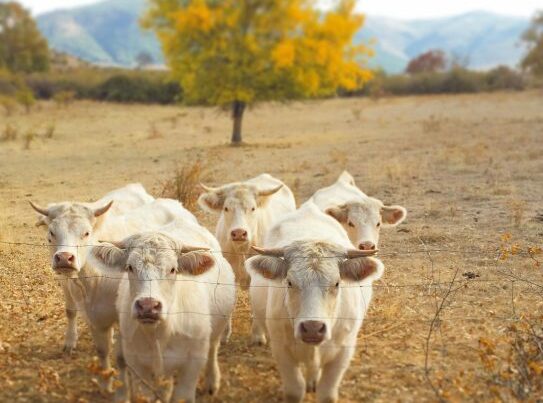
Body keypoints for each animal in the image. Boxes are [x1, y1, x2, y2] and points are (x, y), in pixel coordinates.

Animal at [30, 191, 191, 392]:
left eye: (86, 233)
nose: (64, 258)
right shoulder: (89, 312)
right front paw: (105, 382)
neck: (94, 278)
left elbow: (122, 358)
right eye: (51, 233)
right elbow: (98, 345)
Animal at [90, 218, 237, 403]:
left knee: (212, 350)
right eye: (130, 267)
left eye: (173, 269)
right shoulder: (137, 363)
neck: (160, 333)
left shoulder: (193, 362)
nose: (148, 305)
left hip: (216, 332)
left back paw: (212, 382)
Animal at [246, 204, 382, 402]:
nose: (312, 328)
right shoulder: (281, 349)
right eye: (289, 282)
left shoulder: (343, 351)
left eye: (337, 283)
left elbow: (327, 394)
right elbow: (294, 390)